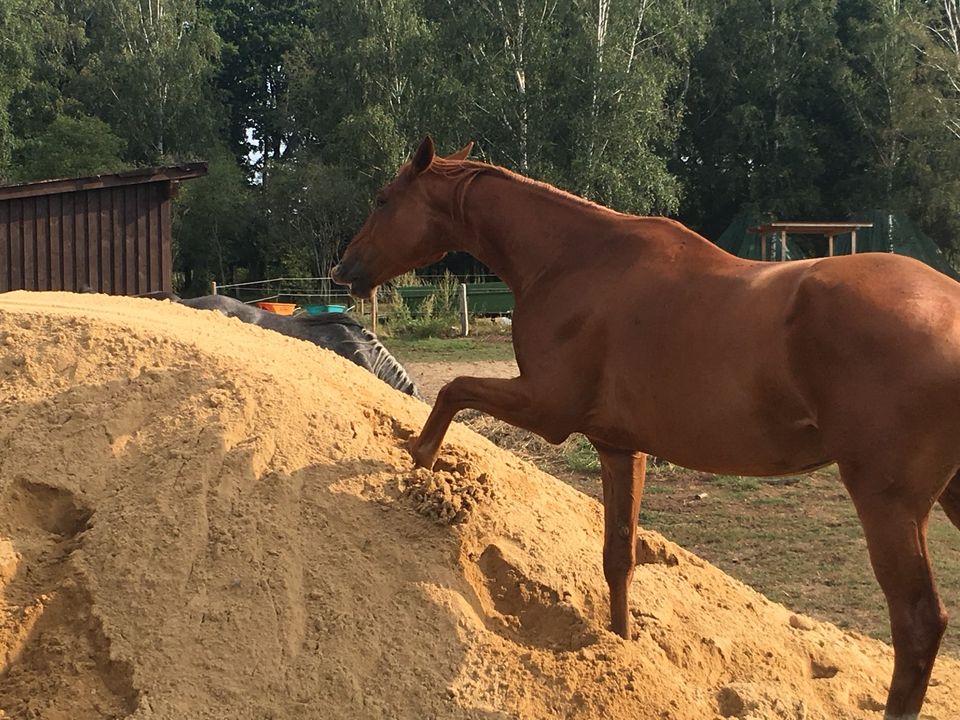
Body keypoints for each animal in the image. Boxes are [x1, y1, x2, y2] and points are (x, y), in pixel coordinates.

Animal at [336, 136, 960, 720]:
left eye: (383, 199)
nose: (344, 268)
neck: (574, 260)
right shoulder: (619, 448)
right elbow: (619, 557)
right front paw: (621, 646)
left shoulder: (546, 408)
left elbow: (452, 390)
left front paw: (419, 459)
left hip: (887, 503)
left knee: (917, 624)